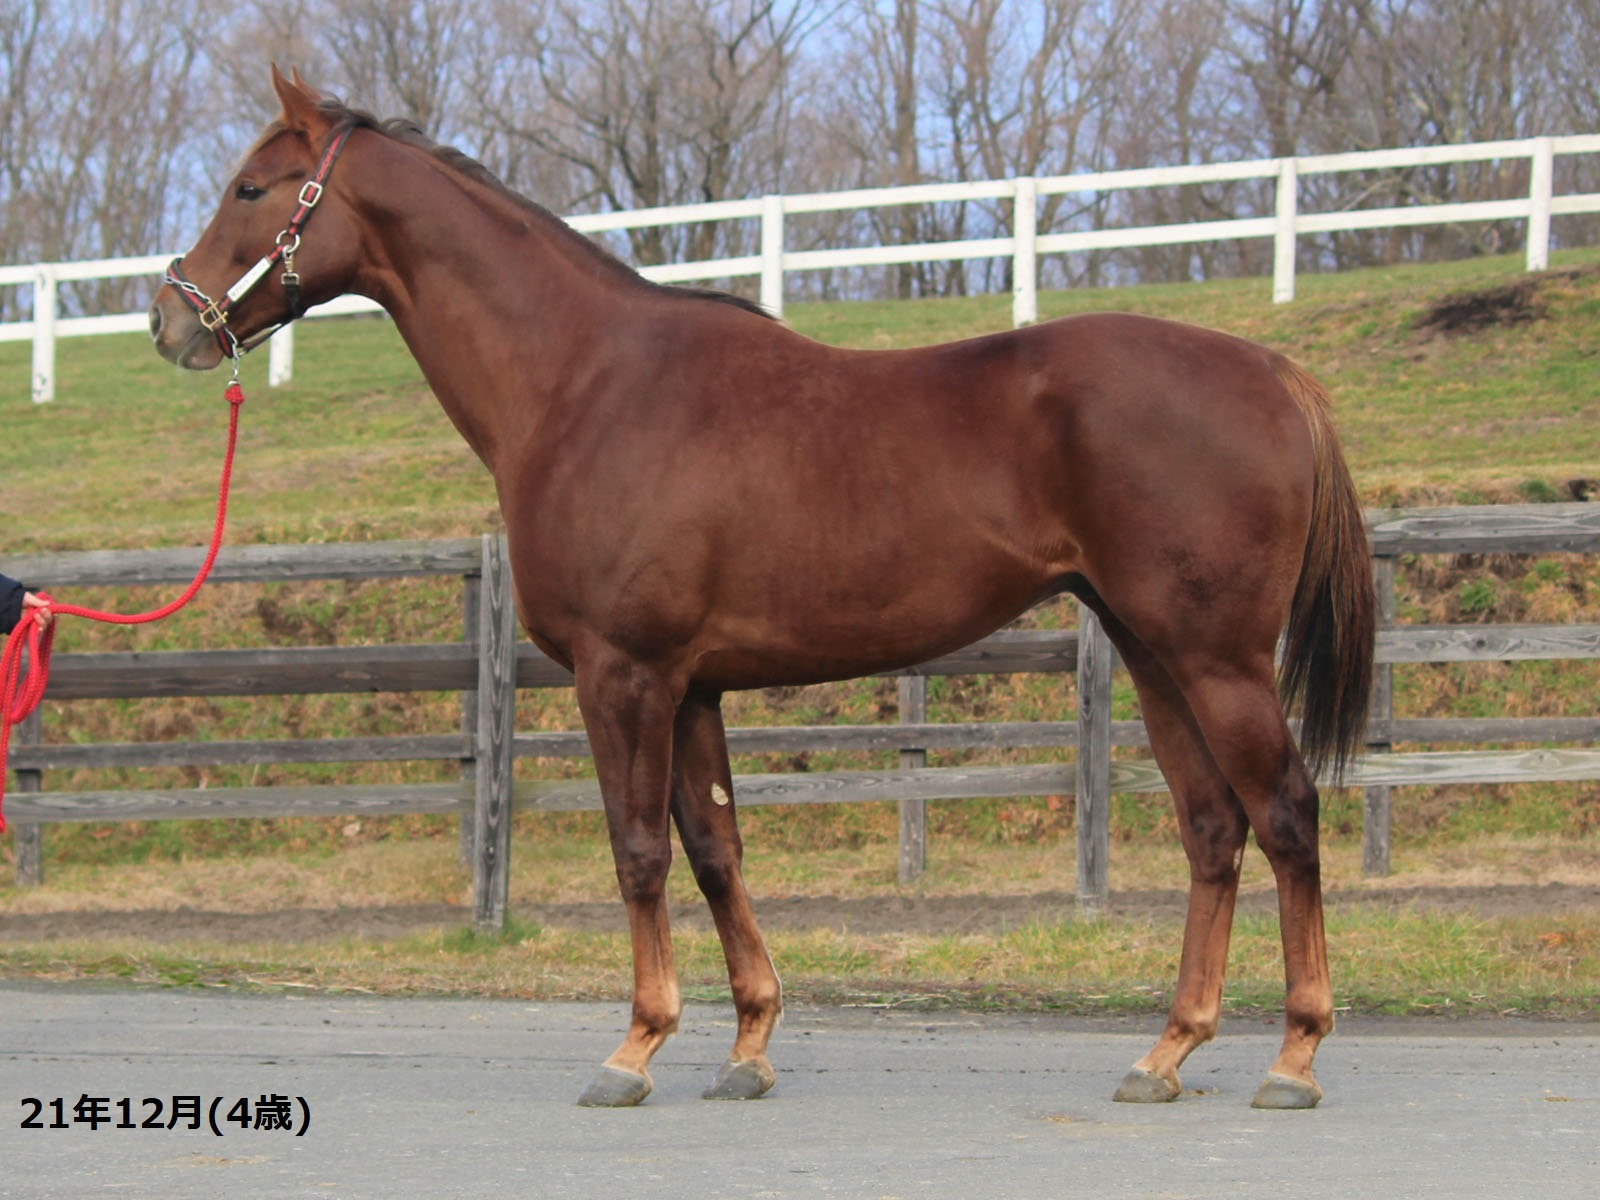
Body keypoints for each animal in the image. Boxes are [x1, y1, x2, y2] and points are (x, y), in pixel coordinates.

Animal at [150, 66, 1374, 1110]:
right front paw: (746, 1045)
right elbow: (713, 850)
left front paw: (635, 1048)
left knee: (1285, 813)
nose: (170, 321)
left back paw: (1294, 1056)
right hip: (1150, 649)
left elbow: (638, 852)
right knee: (1211, 826)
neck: (583, 382)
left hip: (1216, 659)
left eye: (250, 186)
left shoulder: (624, 675)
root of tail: (1275, 374)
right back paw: (1168, 1052)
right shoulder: (693, 686)